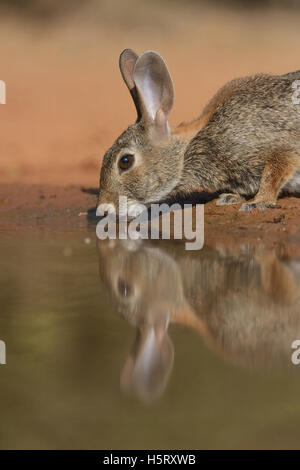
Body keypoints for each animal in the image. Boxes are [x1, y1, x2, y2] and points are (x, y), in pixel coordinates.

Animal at [98, 47, 300, 213]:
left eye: (125, 161)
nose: (104, 210)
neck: (189, 148)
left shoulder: (277, 148)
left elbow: (273, 174)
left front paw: (258, 203)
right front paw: (231, 197)